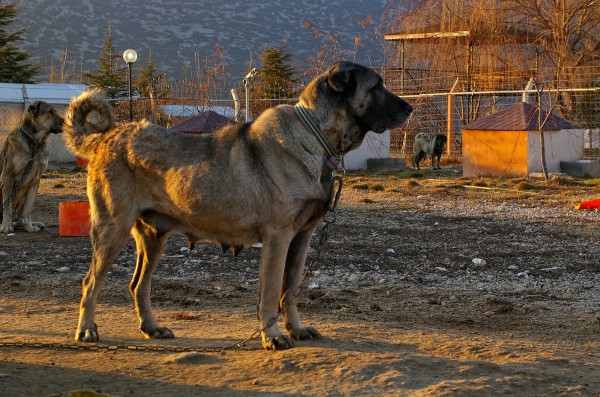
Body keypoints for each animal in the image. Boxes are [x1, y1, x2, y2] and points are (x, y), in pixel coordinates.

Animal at [0, 100, 63, 234]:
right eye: (50, 111)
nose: (65, 121)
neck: (34, 142)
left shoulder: (35, 180)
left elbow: (28, 209)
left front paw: (29, 226)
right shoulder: (7, 176)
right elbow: (7, 207)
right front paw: (6, 225)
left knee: (19, 218)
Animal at [65, 60, 412, 348]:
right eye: (377, 86)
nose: (409, 108)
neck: (315, 135)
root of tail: (106, 138)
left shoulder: (301, 238)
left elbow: (291, 289)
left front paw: (296, 329)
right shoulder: (278, 238)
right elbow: (271, 292)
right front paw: (272, 336)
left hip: (153, 238)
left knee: (138, 285)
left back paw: (151, 328)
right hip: (113, 230)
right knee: (90, 281)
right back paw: (86, 330)